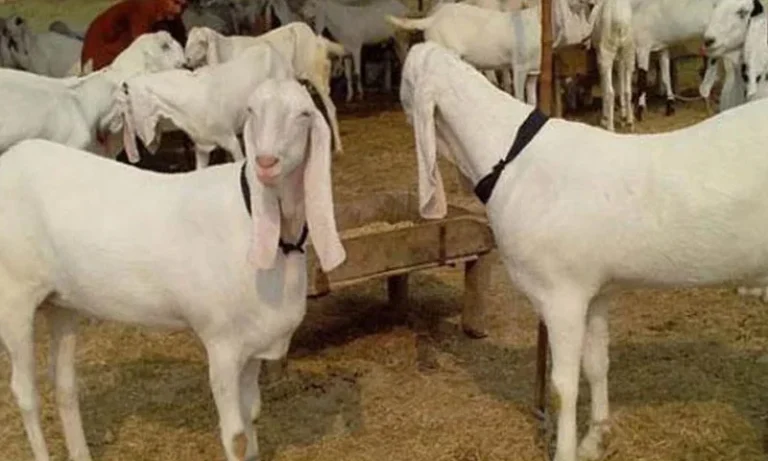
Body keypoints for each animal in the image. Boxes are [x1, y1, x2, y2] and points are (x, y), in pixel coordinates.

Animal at [0, 77, 345, 461]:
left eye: (303, 114)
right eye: (252, 111)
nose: (266, 162)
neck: (256, 221)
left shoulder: (253, 343)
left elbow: (253, 416)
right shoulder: (222, 344)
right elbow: (237, 437)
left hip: (62, 302)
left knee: (64, 385)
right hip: (13, 296)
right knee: (25, 393)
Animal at [184, 23, 345, 154]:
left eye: (202, 42)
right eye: (188, 41)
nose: (187, 60)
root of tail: (315, 37)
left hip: (314, 73)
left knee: (330, 107)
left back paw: (338, 147)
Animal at [400, 41, 768, 461]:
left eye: (405, 79)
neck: (512, 158)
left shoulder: (562, 294)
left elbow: (563, 387)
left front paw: (566, 451)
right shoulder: (595, 291)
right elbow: (596, 364)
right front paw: (595, 438)